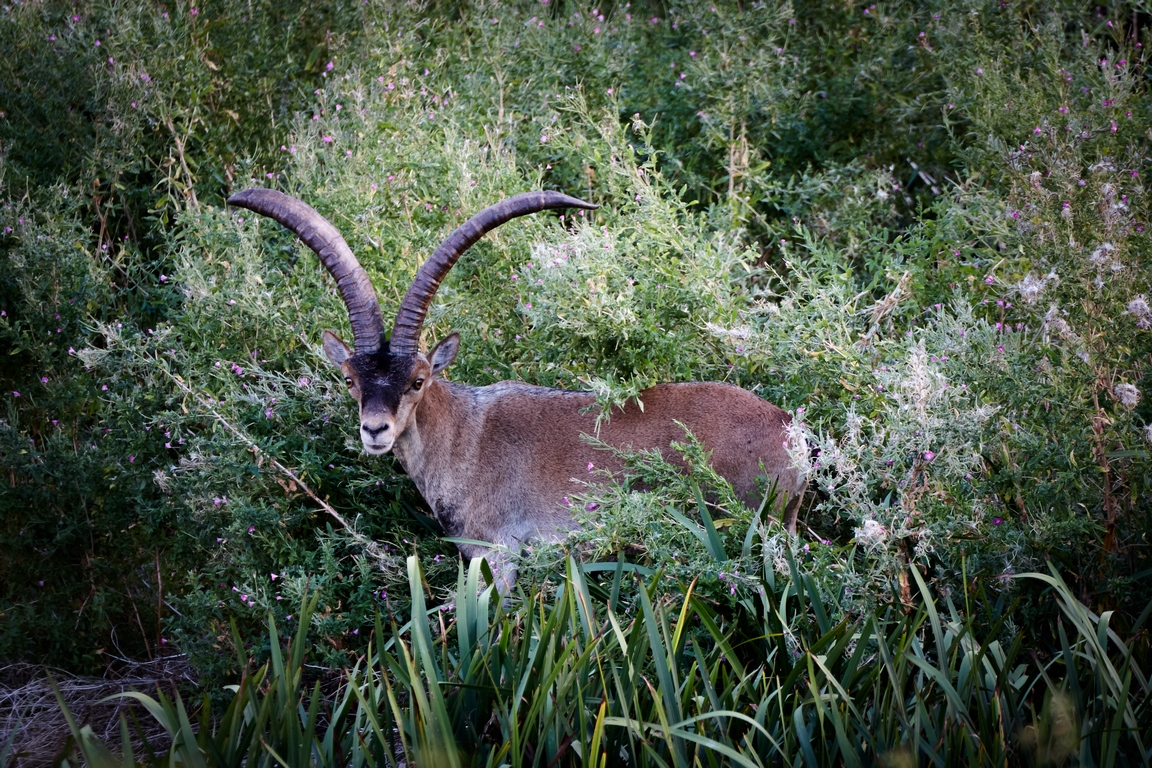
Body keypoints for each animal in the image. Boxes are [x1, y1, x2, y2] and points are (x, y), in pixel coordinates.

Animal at [224, 188, 801, 584]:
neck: (465, 436)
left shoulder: (498, 553)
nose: (375, 431)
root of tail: (792, 435)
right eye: (350, 378)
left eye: (417, 380)